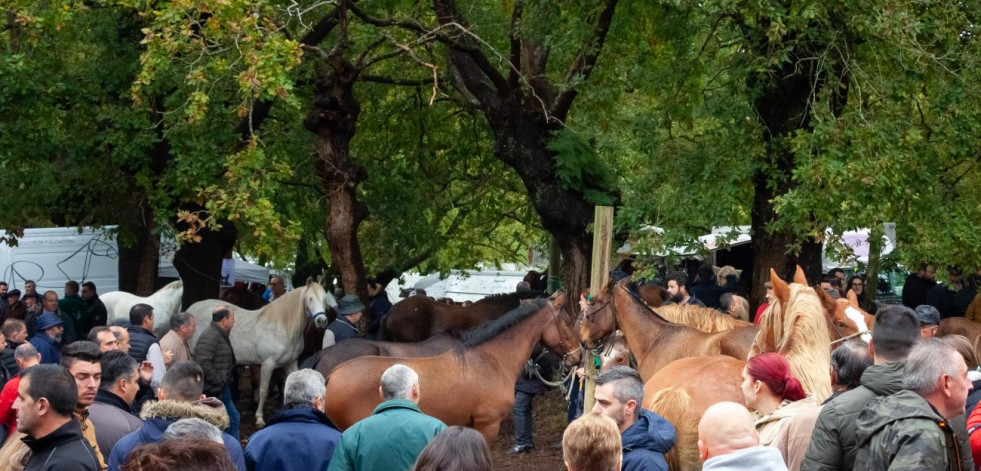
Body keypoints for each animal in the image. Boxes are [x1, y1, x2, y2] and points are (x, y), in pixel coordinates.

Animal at [186, 282, 334, 430]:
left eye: (324, 300)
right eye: (310, 298)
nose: (322, 321)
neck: (283, 327)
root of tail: (192, 309)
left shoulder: (291, 363)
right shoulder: (268, 364)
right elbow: (263, 391)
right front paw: (259, 418)